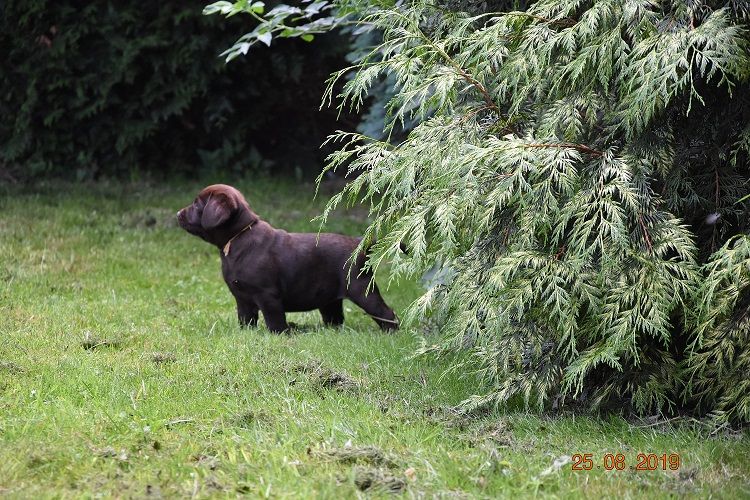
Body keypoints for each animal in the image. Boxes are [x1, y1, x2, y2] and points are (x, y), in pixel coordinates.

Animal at [177, 184, 399, 332]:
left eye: (196, 204)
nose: (178, 213)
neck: (238, 237)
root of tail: (358, 242)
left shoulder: (268, 295)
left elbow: (275, 320)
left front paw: (280, 334)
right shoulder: (242, 298)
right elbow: (246, 319)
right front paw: (246, 333)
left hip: (362, 289)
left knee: (386, 314)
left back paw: (390, 333)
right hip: (330, 299)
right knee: (335, 318)